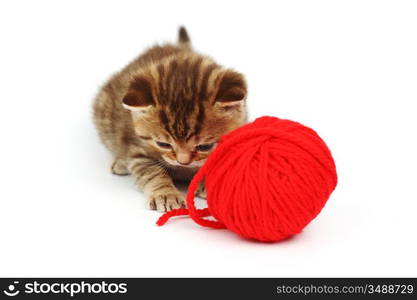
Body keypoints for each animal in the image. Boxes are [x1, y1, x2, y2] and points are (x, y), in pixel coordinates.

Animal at [92, 27, 245, 211]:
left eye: (205, 146)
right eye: (163, 144)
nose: (183, 162)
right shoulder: (137, 150)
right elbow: (151, 172)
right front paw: (165, 194)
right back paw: (121, 162)